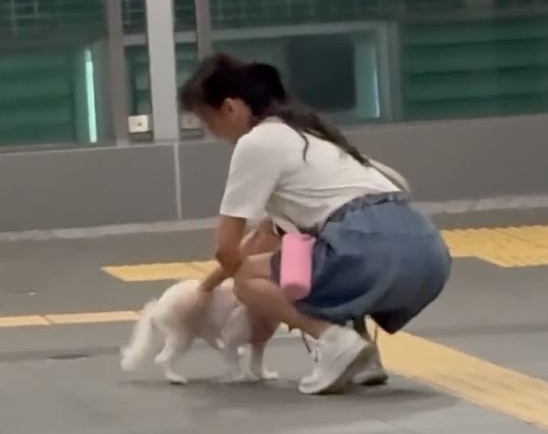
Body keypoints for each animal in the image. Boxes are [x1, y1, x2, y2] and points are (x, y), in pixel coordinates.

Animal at [120, 279, 280, 384]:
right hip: (182, 337)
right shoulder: (232, 336)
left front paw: (265, 375)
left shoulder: (259, 342)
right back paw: (174, 378)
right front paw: (238, 377)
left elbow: (256, 364)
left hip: (203, 330)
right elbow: (234, 362)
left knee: (217, 345)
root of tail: (158, 306)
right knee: (162, 358)